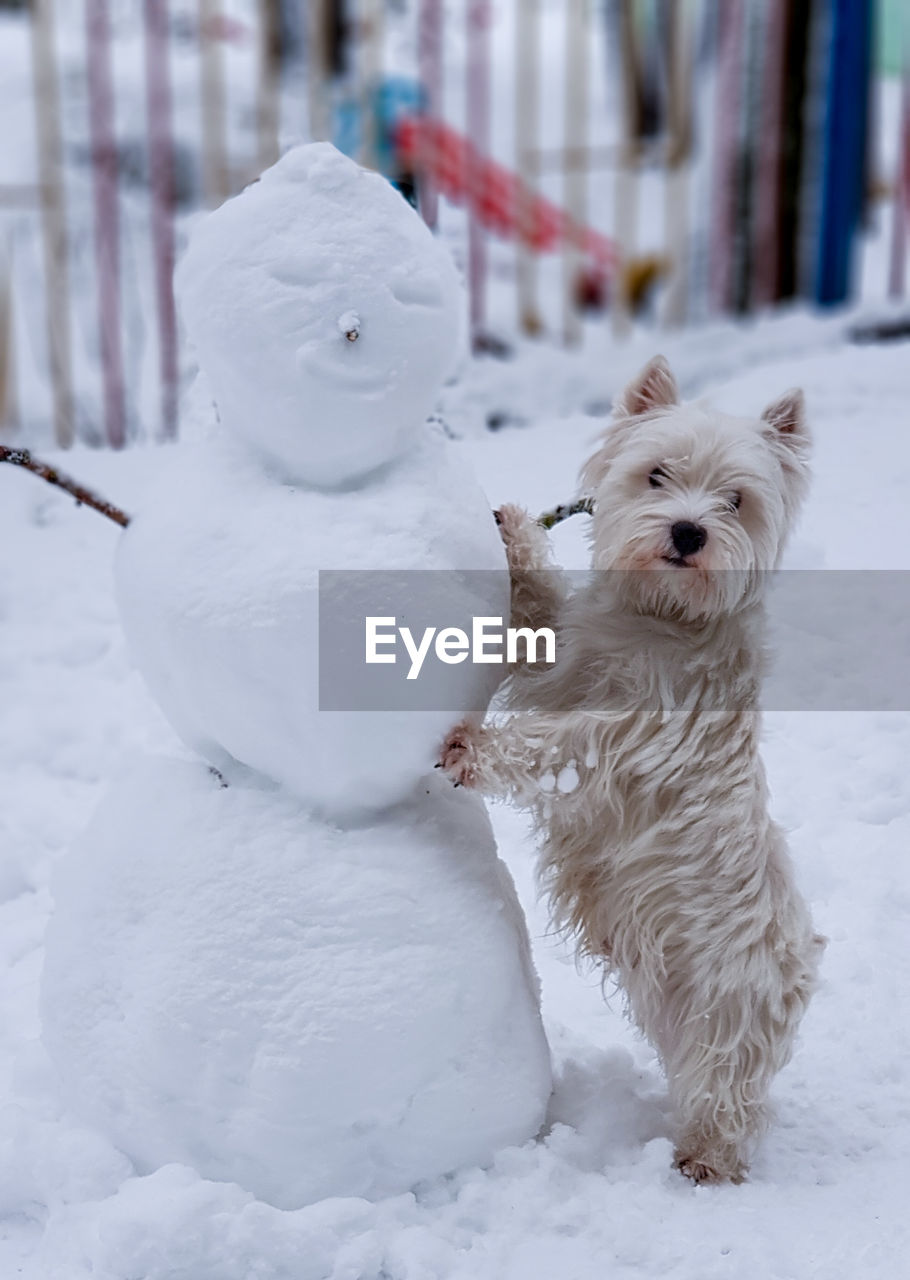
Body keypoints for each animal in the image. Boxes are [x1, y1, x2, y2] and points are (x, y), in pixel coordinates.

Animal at [440, 355, 824, 1182]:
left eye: (736, 499)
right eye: (657, 474)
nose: (688, 530)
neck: (661, 618)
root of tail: (800, 963)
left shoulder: (624, 740)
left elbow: (551, 747)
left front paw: (471, 750)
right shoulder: (563, 660)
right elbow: (539, 612)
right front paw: (515, 532)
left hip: (727, 1016)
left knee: (728, 1093)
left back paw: (703, 1163)